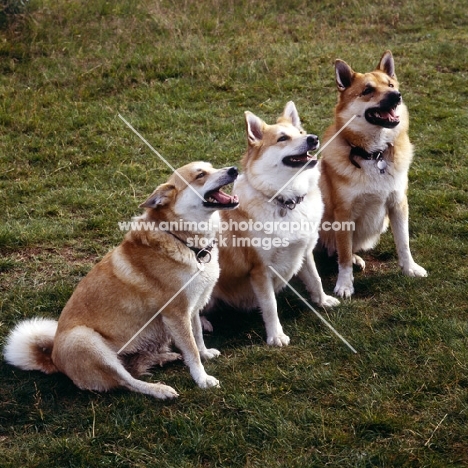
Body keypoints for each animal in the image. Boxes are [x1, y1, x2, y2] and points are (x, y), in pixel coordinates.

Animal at [6, 163, 241, 400]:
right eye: (200, 174)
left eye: (211, 166)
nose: (233, 169)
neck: (180, 238)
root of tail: (53, 360)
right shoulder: (177, 314)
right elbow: (191, 349)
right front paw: (202, 379)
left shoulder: (192, 308)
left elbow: (197, 336)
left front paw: (205, 354)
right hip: (86, 341)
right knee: (127, 381)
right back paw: (160, 390)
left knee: (133, 369)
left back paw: (166, 358)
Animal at [205, 102, 340, 348]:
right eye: (282, 138)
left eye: (301, 132)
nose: (313, 138)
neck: (285, 200)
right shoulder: (260, 270)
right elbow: (270, 305)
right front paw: (276, 336)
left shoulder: (304, 251)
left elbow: (315, 279)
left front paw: (323, 301)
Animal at [320, 49, 426, 298]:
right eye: (368, 90)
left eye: (391, 85)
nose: (396, 96)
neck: (373, 154)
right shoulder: (344, 213)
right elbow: (343, 255)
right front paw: (344, 285)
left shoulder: (398, 204)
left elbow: (404, 242)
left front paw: (410, 268)